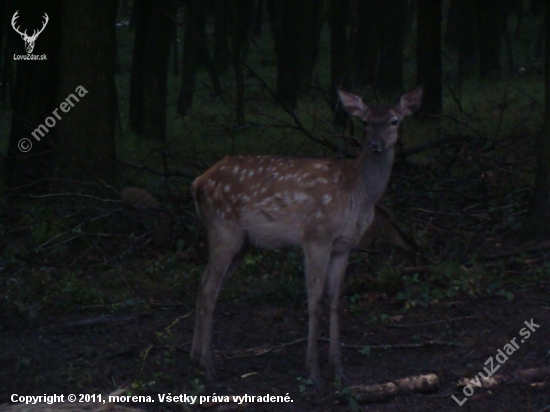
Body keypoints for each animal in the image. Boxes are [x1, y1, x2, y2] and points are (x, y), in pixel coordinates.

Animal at [192, 85, 424, 384]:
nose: (375, 143)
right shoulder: (316, 235)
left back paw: (194, 359)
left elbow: (335, 301)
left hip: (242, 242)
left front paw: (338, 368)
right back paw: (209, 366)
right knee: (210, 287)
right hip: (224, 228)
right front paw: (313, 370)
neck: (356, 195)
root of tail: (197, 183)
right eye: (365, 122)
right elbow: (314, 300)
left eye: (394, 121)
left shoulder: (344, 245)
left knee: (203, 282)